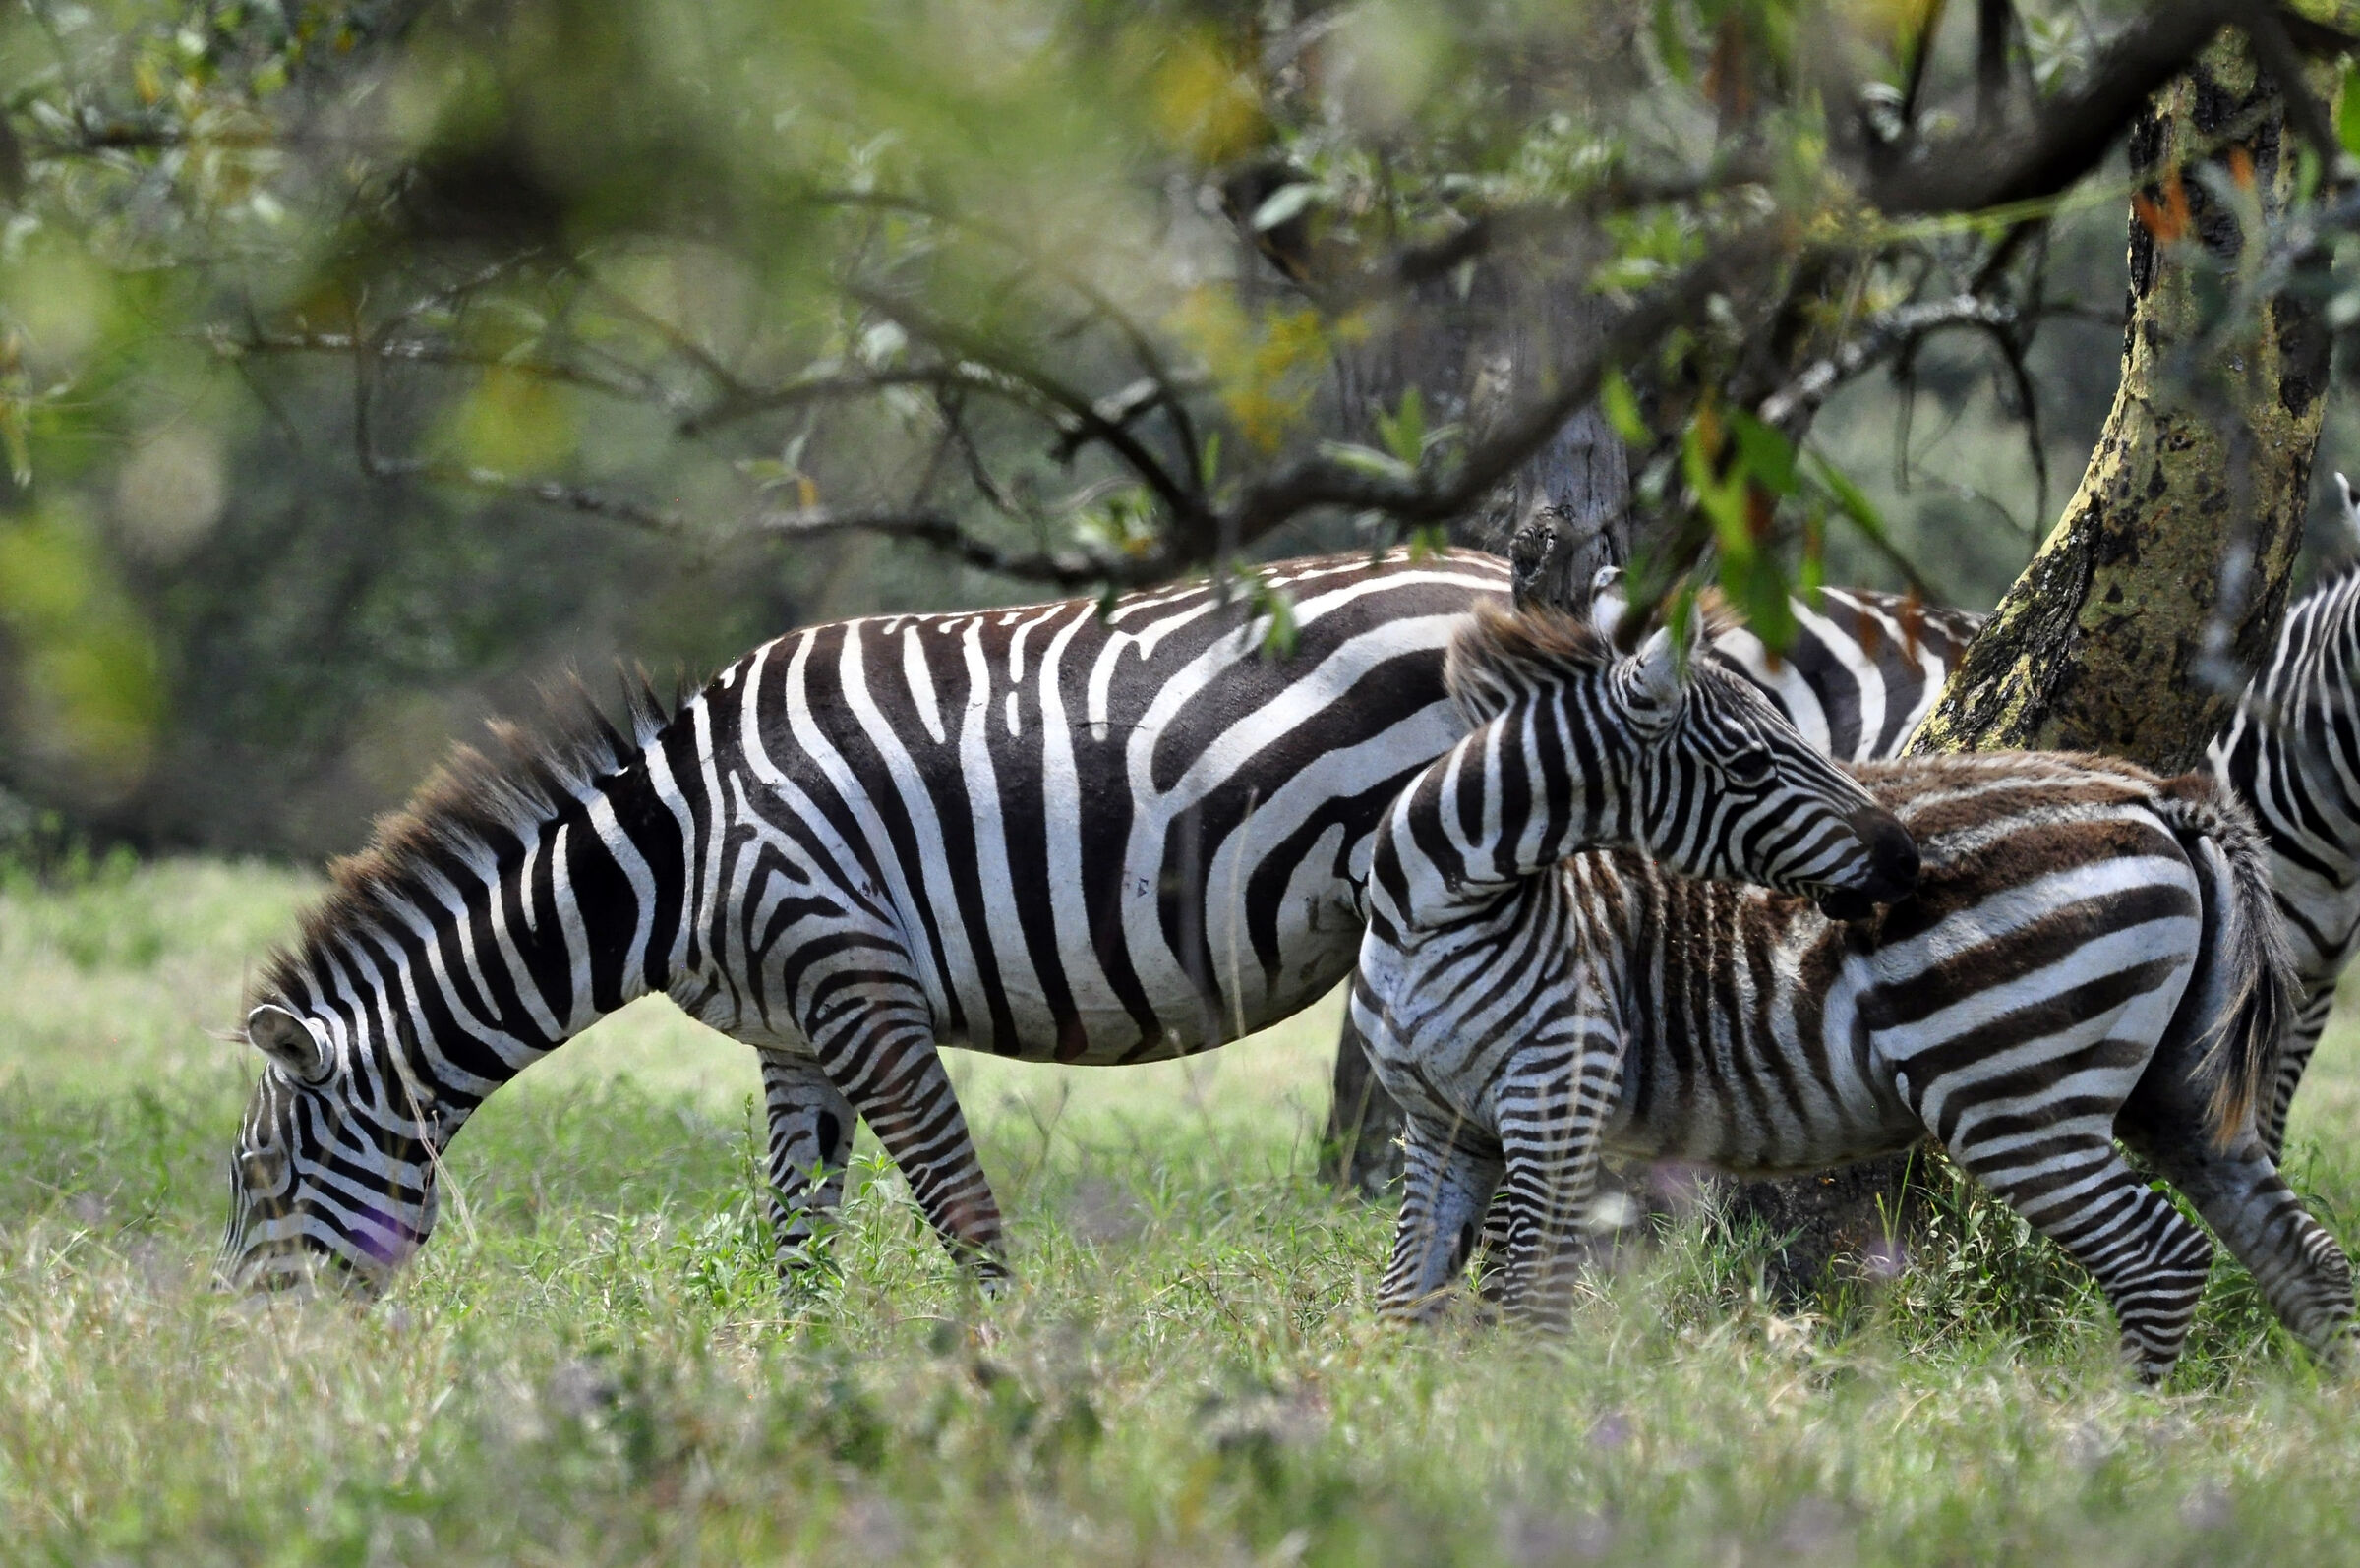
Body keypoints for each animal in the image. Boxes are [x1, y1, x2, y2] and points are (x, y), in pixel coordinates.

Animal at [216, 548, 1921, 1294]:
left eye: (254, 1180)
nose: (252, 1368)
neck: (672, 856)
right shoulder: (787, 1032)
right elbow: (796, 1232)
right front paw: (797, 1380)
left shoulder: (854, 976)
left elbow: (962, 1215)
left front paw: (995, 1395)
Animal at [1355, 603, 2352, 1381]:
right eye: (1751, 766)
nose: (1907, 863)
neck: (1429, 915)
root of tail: (2157, 796)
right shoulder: (1441, 1125)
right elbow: (1406, 1296)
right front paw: (1417, 1419)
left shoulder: (1557, 1093)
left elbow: (1529, 1299)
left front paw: (1532, 1424)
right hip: (2179, 1090)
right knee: (2307, 1257)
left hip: (2013, 1094)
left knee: (2160, 1258)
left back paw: (2114, 1440)